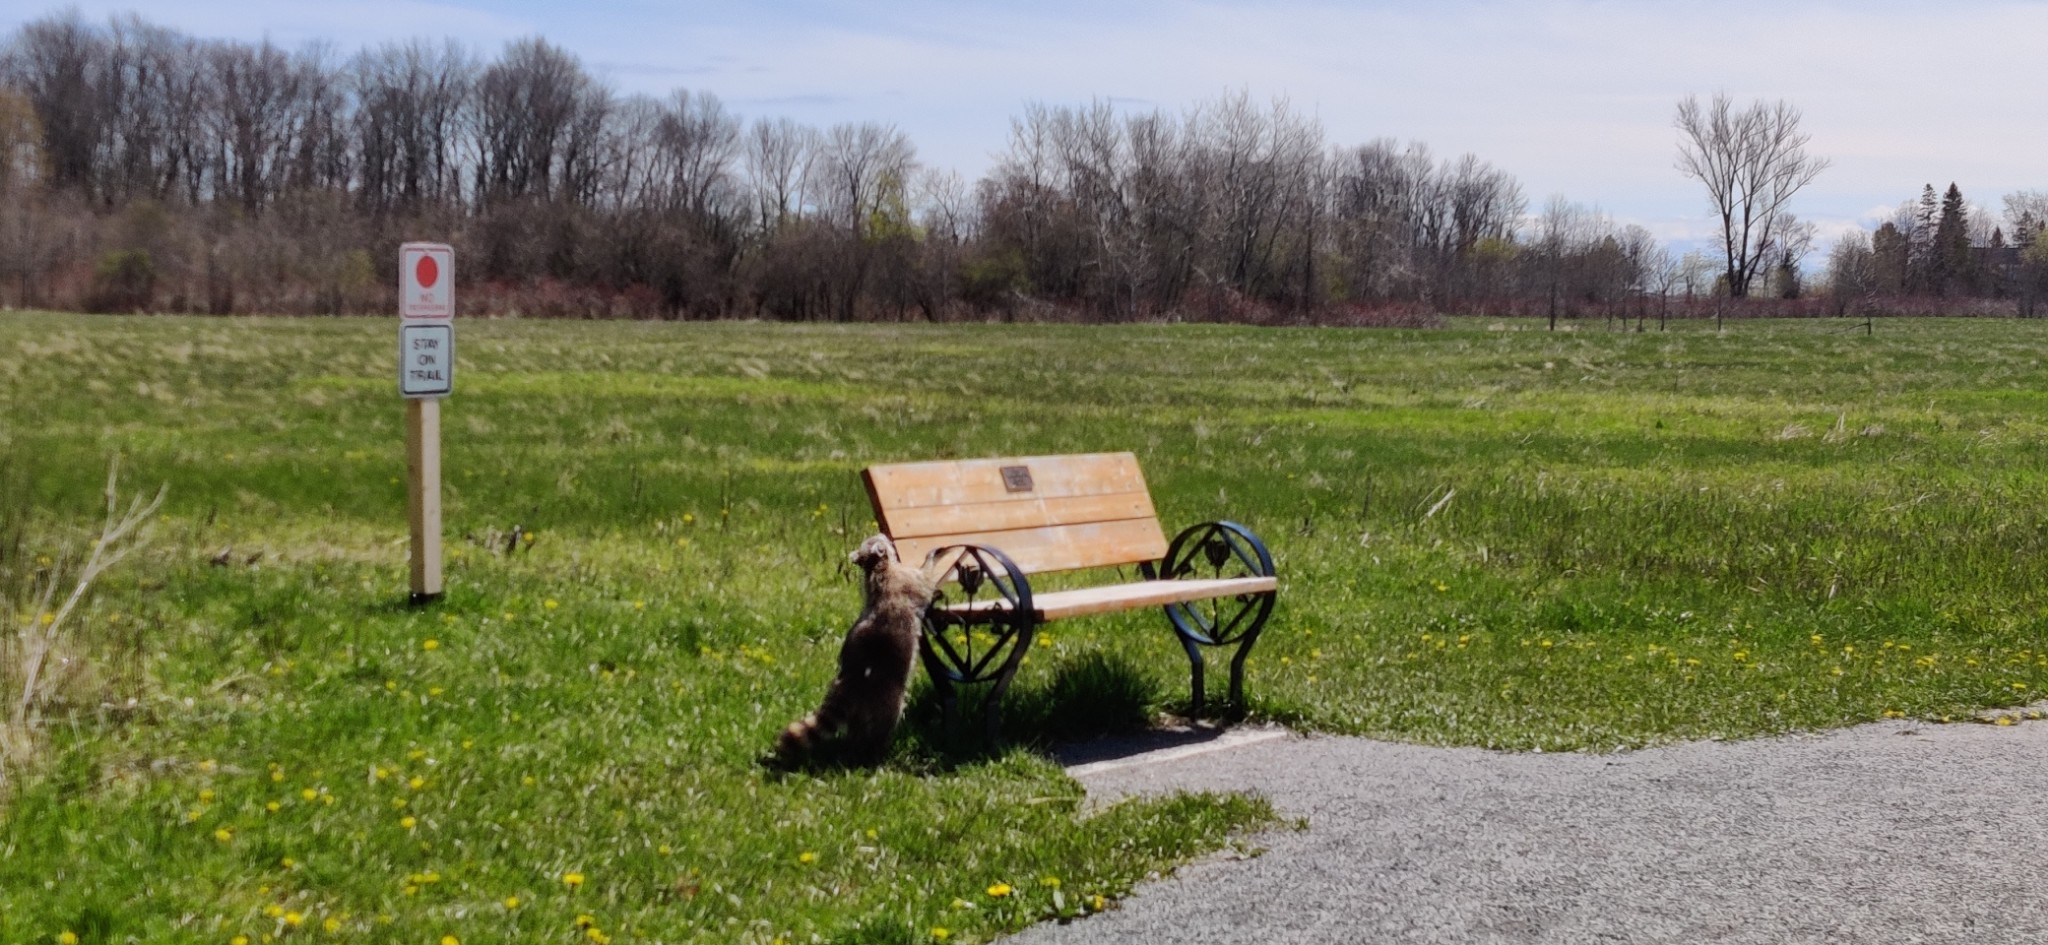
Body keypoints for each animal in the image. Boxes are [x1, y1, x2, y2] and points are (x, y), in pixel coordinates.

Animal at [770, 532, 937, 762]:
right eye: (878, 538)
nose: (883, 534)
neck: (876, 567)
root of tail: (851, 679)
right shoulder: (907, 580)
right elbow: (926, 581)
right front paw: (932, 558)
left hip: (861, 707)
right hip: (886, 696)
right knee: (886, 719)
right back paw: (875, 749)